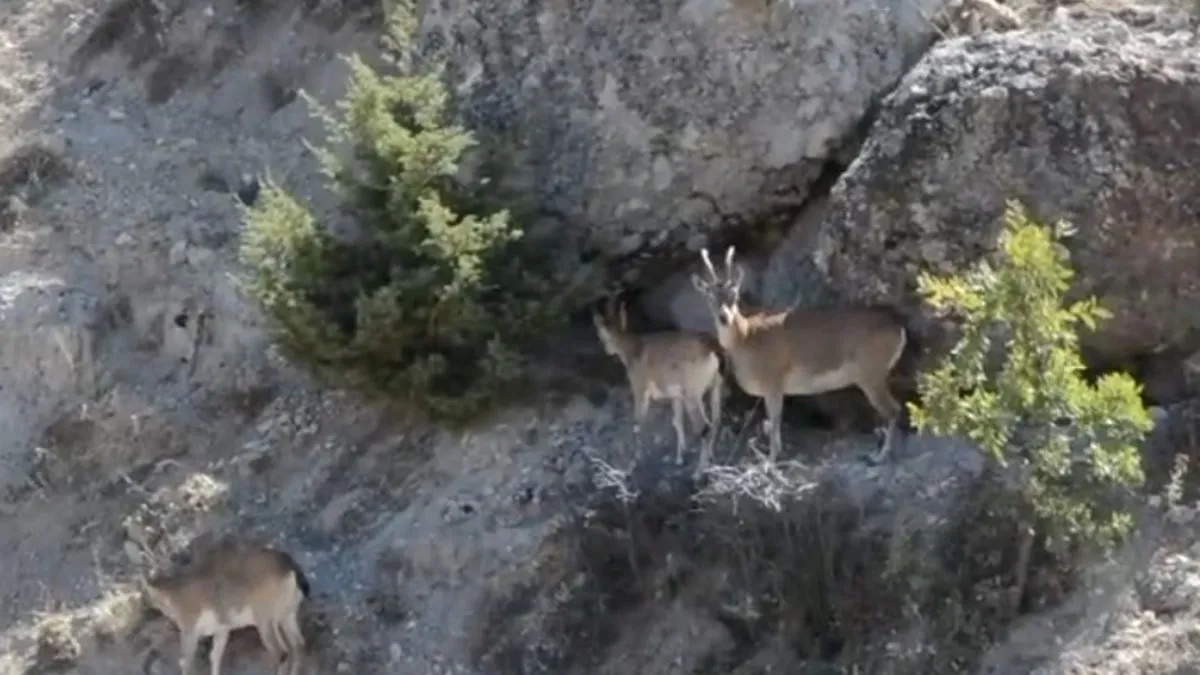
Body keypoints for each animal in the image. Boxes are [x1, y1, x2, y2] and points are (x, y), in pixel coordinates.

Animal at [141, 535, 312, 672]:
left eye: (145, 593)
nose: (145, 609)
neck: (174, 596)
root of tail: (290, 567)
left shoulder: (190, 630)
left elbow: (185, 661)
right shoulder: (221, 630)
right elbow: (214, 656)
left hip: (265, 620)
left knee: (281, 653)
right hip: (287, 615)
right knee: (298, 645)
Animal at [590, 296, 720, 470]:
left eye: (600, 334)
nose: (607, 350)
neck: (633, 350)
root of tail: (711, 352)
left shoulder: (640, 389)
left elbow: (639, 423)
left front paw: (636, 459)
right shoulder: (676, 396)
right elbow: (677, 423)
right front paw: (679, 458)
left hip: (692, 394)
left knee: (704, 426)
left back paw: (699, 470)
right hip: (715, 386)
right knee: (715, 421)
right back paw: (710, 460)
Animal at [691, 246, 902, 461]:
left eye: (734, 294)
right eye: (709, 297)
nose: (724, 318)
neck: (746, 336)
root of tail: (897, 326)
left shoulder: (773, 383)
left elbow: (775, 421)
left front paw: (770, 460)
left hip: (871, 374)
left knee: (893, 410)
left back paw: (879, 456)